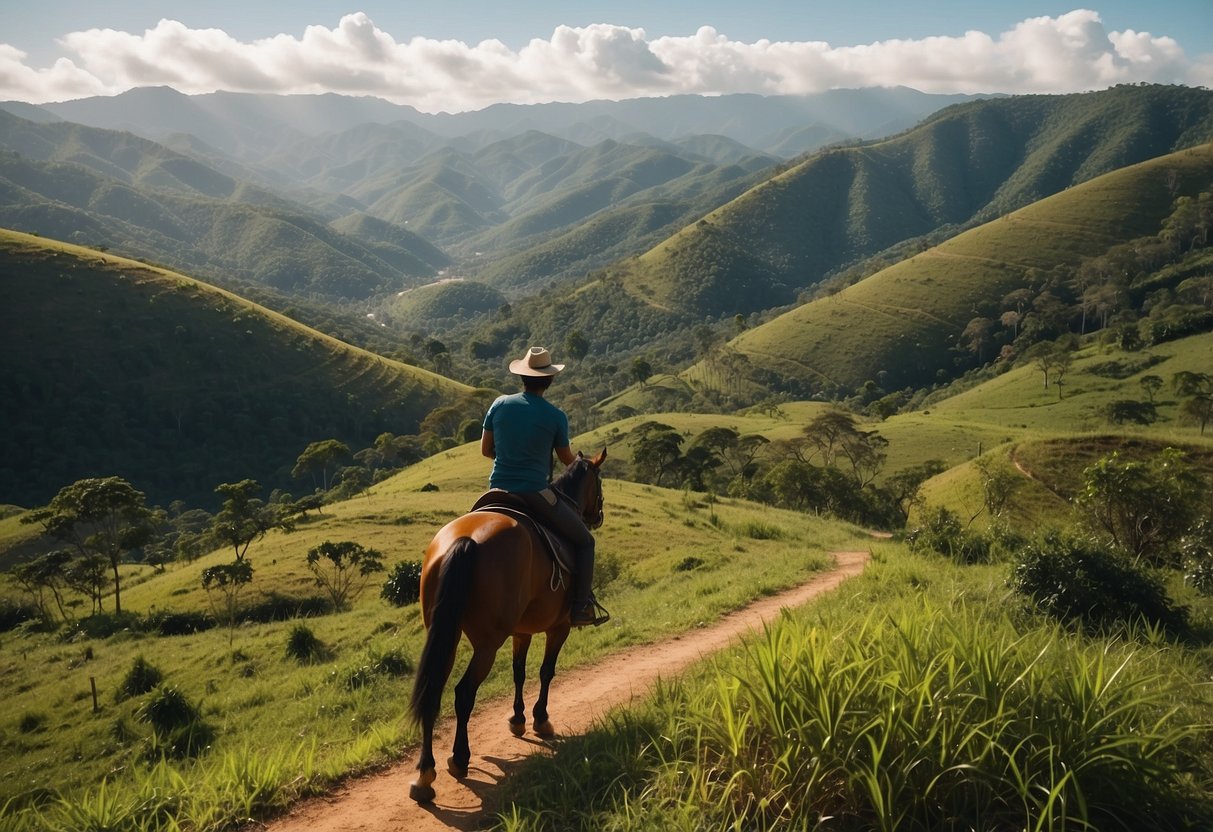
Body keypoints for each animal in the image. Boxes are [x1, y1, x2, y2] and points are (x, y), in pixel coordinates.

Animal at [407, 453, 606, 805]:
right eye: (599, 483)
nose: (598, 515)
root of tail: (466, 540)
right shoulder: (559, 627)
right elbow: (545, 672)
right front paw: (540, 719)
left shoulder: (521, 631)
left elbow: (518, 673)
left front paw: (517, 719)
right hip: (487, 643)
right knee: (463, 693)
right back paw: (459, 758)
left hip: (445, 634)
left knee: (433, 692)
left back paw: (425, 775)